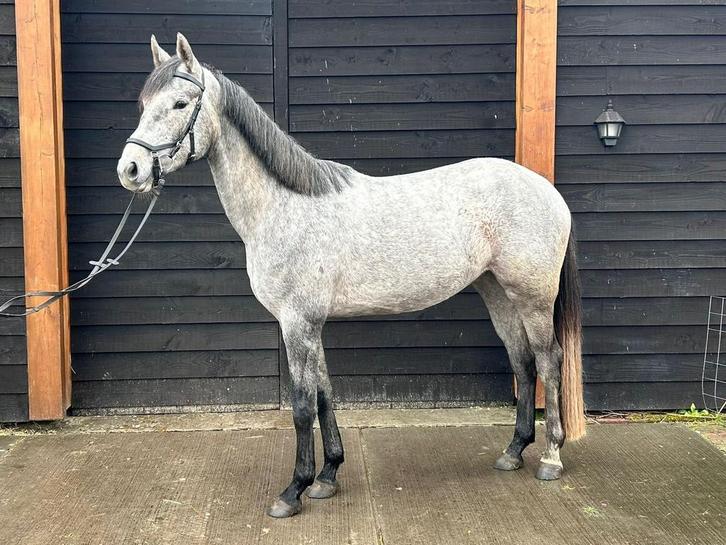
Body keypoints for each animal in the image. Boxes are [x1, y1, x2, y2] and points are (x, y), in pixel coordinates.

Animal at [116, 33, 586, 518]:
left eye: (180, 103)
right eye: (144, 102)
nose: (129, 170)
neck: (284, 206)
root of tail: (546, 189)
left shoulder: (297, 323)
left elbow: (302, 407)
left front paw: (293, 490)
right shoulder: (310, 324)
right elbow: (325, 395)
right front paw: (327, 476)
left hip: (532, 298)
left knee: (549, 360)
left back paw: (550, 457)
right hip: (497, 293)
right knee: (522, 361)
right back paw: (513, 451)